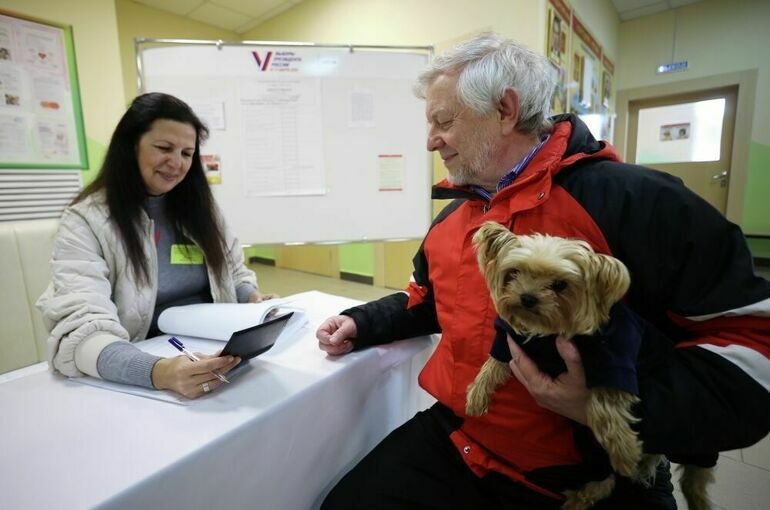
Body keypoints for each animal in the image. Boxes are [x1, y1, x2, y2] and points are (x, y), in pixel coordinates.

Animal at [464, 223, 712, 510]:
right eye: (514, 272)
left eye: (560, 285)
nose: (527, 298)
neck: (546, 334)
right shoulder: (511, 336)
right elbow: (494, 361)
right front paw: (477, 396)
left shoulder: (613, 353)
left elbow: (602, 403)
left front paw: (625, 450)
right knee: (606, 477)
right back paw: (582, 496)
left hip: (692, 440)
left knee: (695, 474)